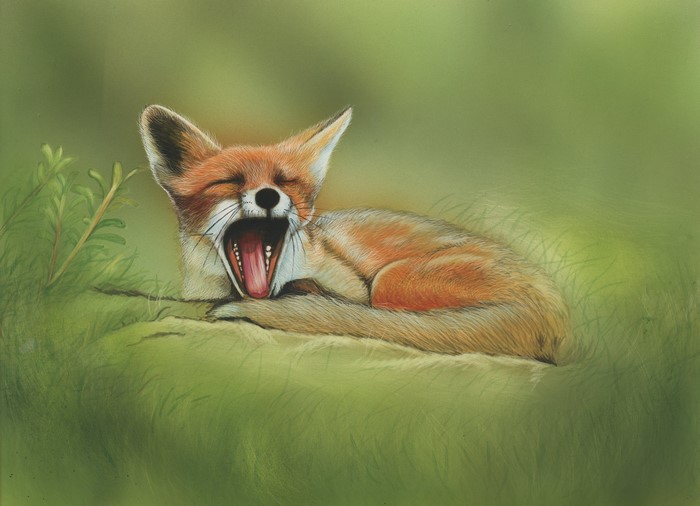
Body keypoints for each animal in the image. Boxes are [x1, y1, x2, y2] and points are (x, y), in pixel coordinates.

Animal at [140, 105, 571, 364]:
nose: (268, 195)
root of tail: (557, 312)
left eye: (285, 180)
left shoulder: (354, 285)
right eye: (228, 181)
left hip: (391, 281)